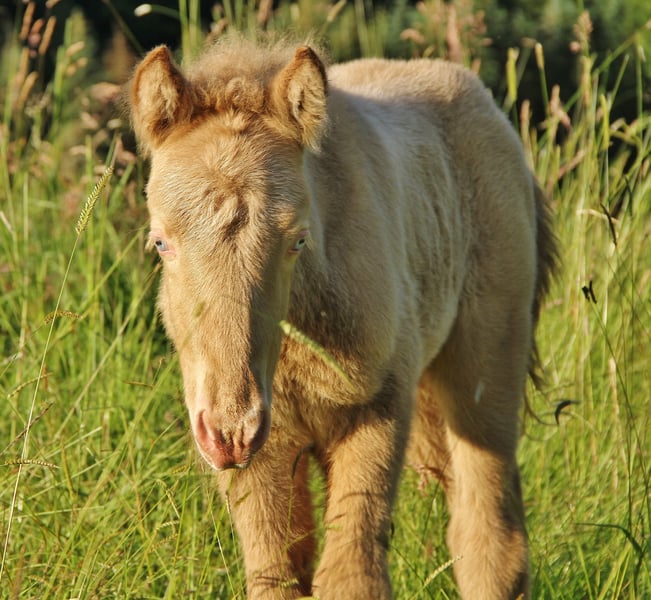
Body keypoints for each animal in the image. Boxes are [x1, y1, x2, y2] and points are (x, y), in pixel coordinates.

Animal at [128, 36, 556, 599]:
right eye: (160, 242)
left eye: (297, 240)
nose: (230, 432)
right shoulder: (266, 450)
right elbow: (278, 576)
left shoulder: (375, 411)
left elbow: (351, 575)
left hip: (484, 367)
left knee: (488, 537)